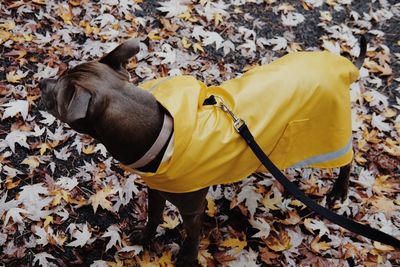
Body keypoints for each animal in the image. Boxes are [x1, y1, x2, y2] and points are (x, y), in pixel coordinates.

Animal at [39, 38, 364, 266]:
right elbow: (154, 216)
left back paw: (339, 191)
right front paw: (145, 238)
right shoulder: (156, 189)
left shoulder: (192, 209)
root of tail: (341, 66)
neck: (161, 131)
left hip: (331, 134)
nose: (41, 82)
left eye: (59, 92)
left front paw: (186, 258)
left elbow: (191, 237)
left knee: (348, 159)